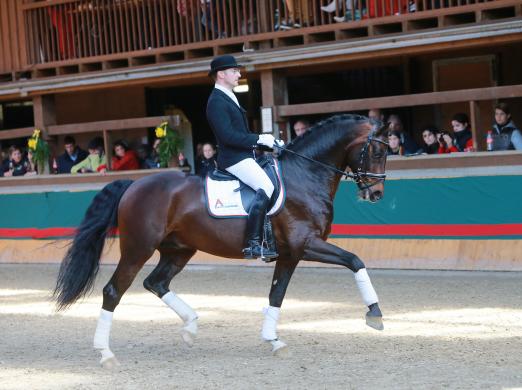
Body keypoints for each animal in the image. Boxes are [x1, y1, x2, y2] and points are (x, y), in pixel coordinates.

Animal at [53, 114, 386, 368]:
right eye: (376, 152)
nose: (376, 194)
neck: (304, 175)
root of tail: (134, 185)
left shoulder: (290, 254)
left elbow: (276, 295)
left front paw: (274, 341)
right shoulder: (306, 244)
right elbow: (355, 261)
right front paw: (375, 314)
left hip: (179, 250)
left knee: (156, 282)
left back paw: (190, 327)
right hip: (138, 250)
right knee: (114, 291)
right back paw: (106, 353)